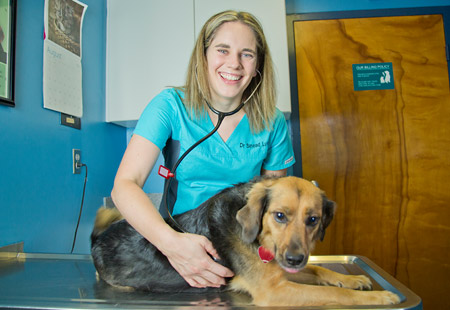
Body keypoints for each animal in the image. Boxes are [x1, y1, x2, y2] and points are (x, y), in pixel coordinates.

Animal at [89, 176, 400, 306]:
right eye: (279, 216)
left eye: (313, 220)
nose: (294, 259)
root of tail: (97, 239)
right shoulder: (272, 291)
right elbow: (332, 295)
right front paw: (377, 297)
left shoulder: (282, 273)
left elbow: (320, 270)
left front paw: (352, 279)